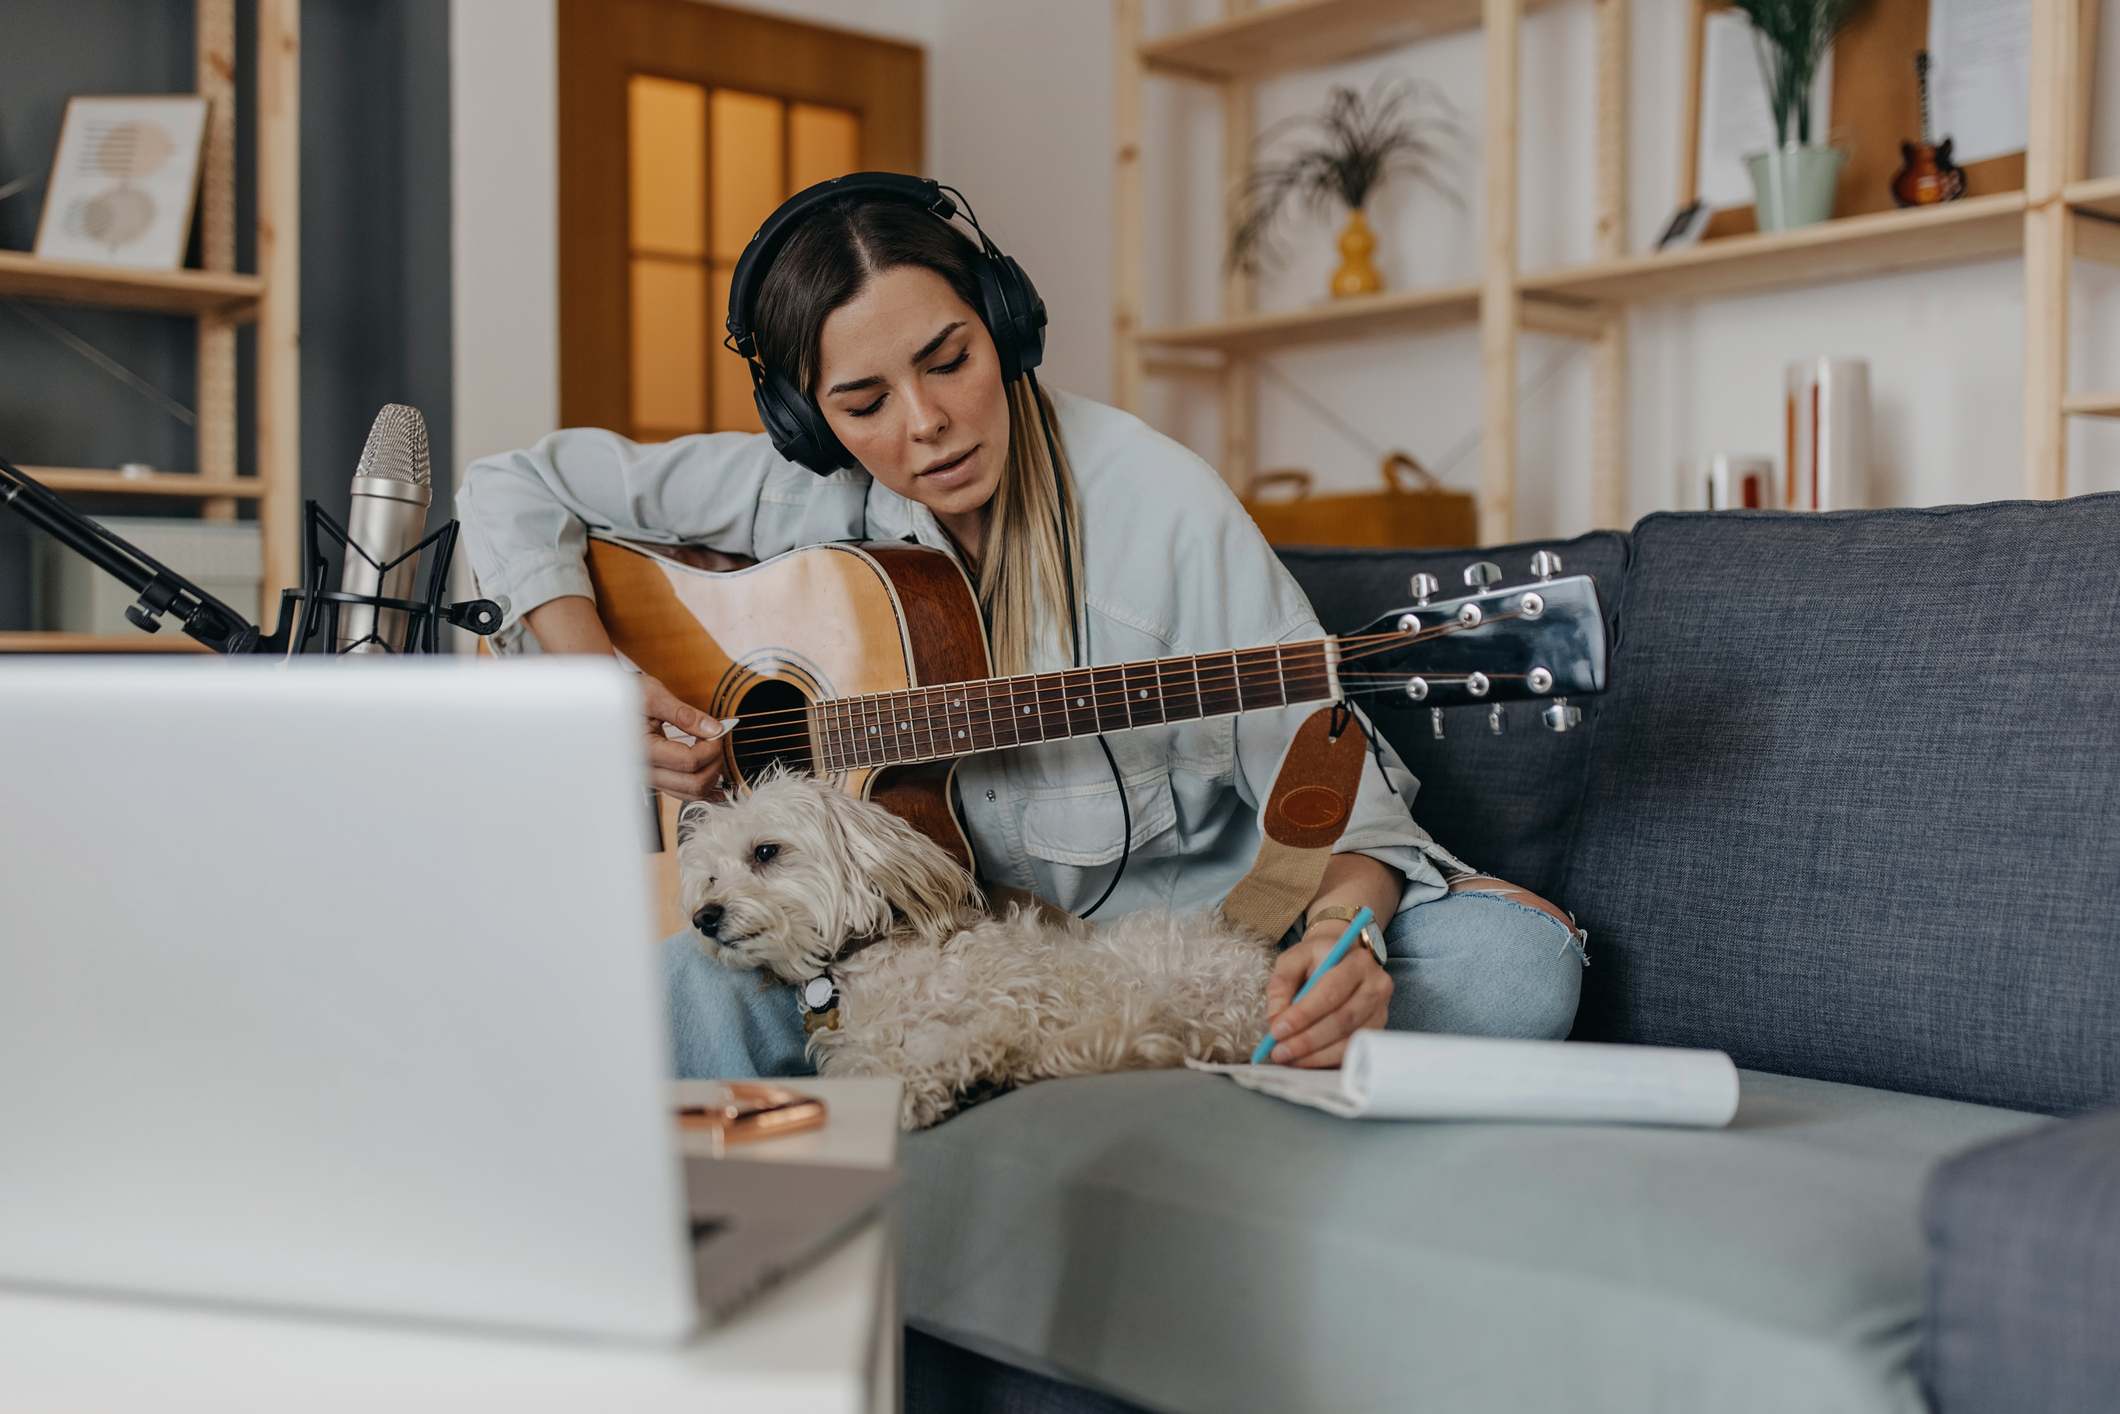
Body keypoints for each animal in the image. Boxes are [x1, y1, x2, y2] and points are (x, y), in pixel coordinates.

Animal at [678, 767, 1271, 1136]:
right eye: (709, 876)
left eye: (766, 852)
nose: (703, 917)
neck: (867, 966)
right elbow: (863, 1067)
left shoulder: (1019, 1005)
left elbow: (951, 1042)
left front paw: (930, 1080)